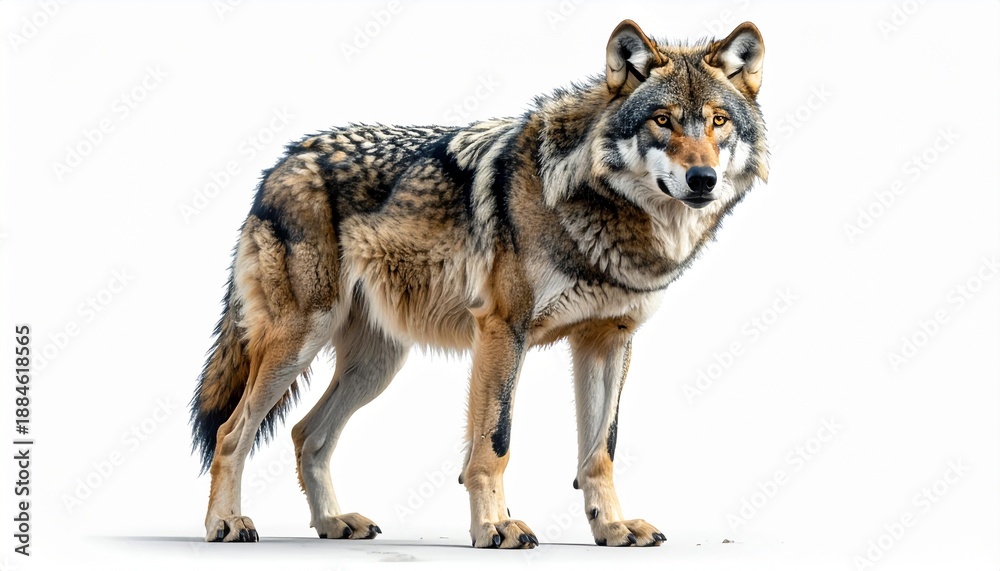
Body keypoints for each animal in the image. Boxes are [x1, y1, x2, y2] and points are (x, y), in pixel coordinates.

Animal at [189, 20, 767, 548]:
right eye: (662, 120)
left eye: (717, 121)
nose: (702, 180)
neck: (597, 210)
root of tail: (282, 161)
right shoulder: (502, 330)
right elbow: (494, 443)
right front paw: (494, 527)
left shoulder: (608, 340)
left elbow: (600, 451)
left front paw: (612, 528)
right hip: (301, 341)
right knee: (230, 433)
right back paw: (226, 523)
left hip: (376, 366)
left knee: (307, 434)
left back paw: (333, 522)